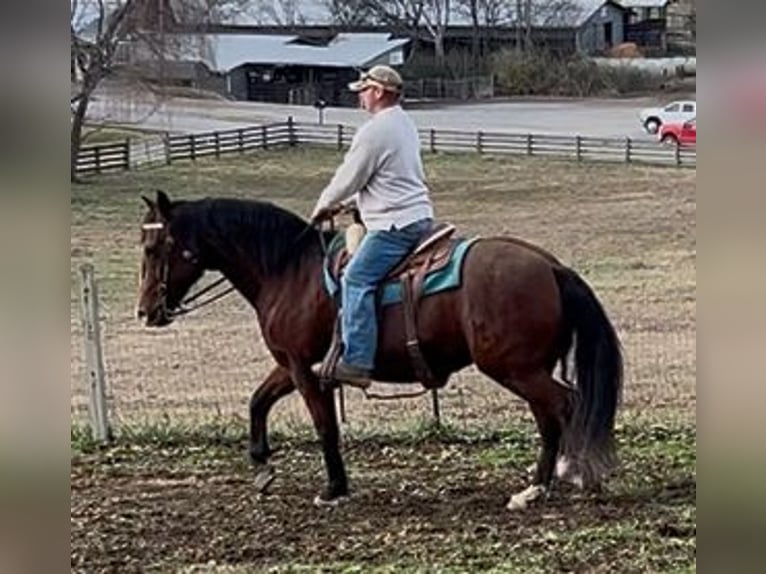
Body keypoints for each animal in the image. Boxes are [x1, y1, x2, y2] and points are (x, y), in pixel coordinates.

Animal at [136, 190, 623, 510]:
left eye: (155, 246)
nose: (145, 311)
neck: (288, 270)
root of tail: (552, 267)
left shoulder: (302, 367)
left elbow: (324, 425)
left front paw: (334, 488)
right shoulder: (291, 363)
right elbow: (258, 401)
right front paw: (261, 467)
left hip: (515, 368)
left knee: (566, 405)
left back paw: (572, 474)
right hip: (528, 368)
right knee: (550, 415)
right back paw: (536, 487)